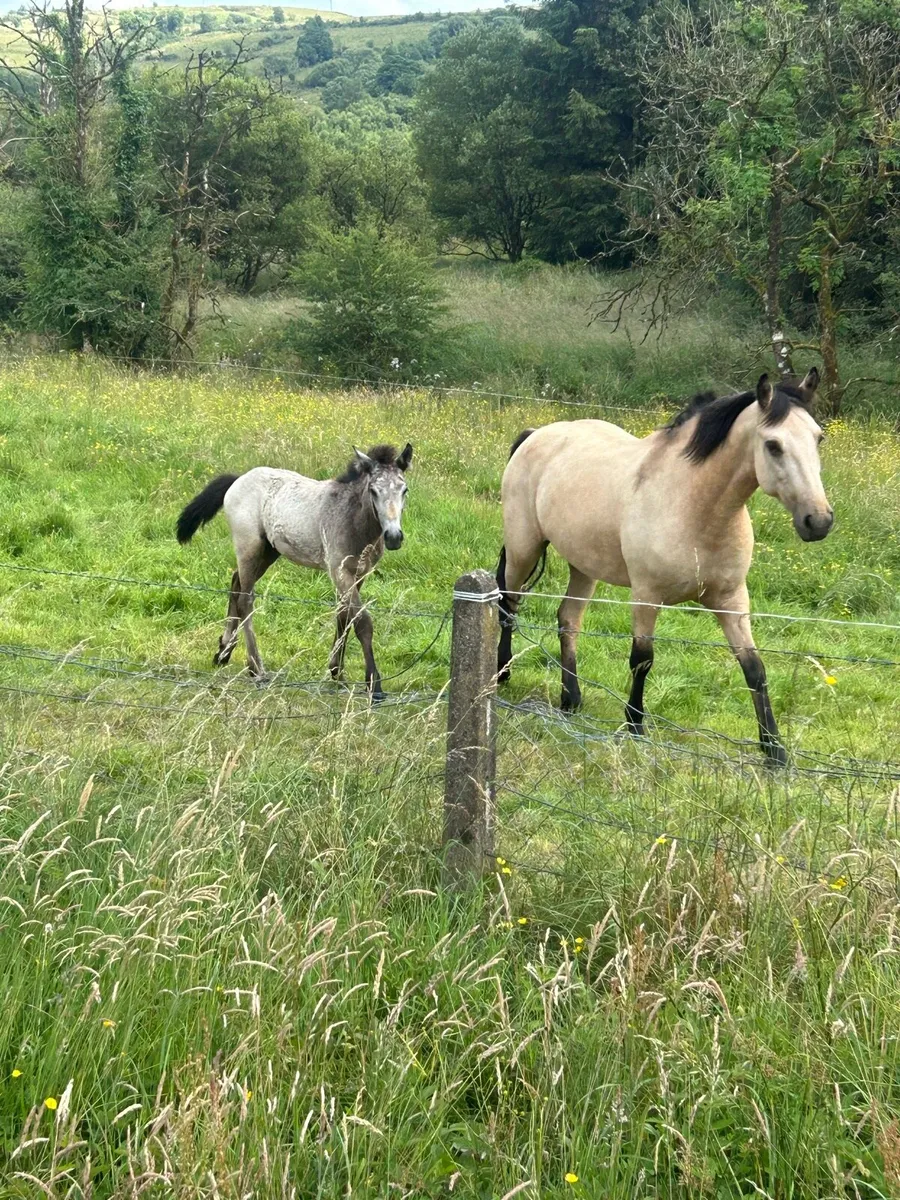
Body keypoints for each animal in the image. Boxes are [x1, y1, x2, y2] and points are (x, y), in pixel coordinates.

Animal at [176, 442, 413, 697]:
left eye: (404, 490)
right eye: (373, 490)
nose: (394, 537)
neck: (352, 518)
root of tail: (239, 479)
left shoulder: (360, 573)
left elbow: (344, 616)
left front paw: (337, 672)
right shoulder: (339, 571)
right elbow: (362, 621)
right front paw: (374, 684)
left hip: (268, 551)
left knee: (236, 582)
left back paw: (223, 651)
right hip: (249, 546)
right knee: (245, 599)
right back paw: (256, 669)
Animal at [496, 371, 833, 764]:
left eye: (818, 438)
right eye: (774, 445)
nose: (819, 521)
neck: (694, 506)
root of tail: (536, 434)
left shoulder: (731, 601)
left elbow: (754, 668)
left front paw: (774, 750)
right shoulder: (646, 596)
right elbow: (642, 659)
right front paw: (635, 727)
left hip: (583, 565)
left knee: (568, 620)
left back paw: (571, 699)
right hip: (523, 548)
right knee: (508, 605)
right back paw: (501, 674)